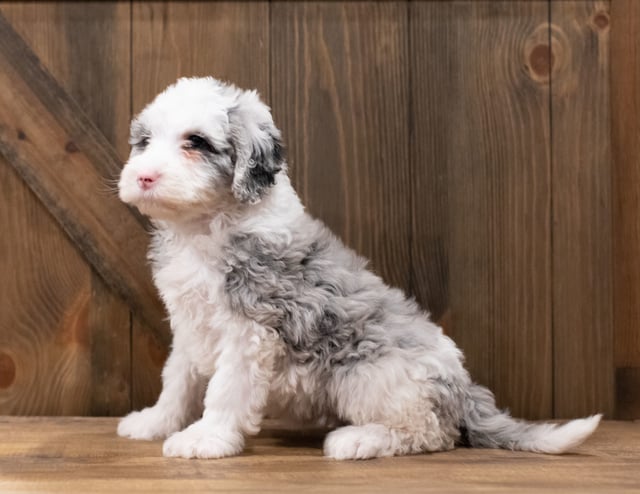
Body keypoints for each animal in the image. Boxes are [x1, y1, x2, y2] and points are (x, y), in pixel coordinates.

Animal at [117, 76, 604, 460]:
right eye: (144, 142)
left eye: (196, 142)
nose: (143, 177)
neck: (202, 229)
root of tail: (464, 390)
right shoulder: (190, 323)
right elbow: (177, 380)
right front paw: (154, 422)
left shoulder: (250, 328)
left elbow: (225, 388)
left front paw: (206, 439)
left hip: (365, 373)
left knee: (432, 432)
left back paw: (356, 441)